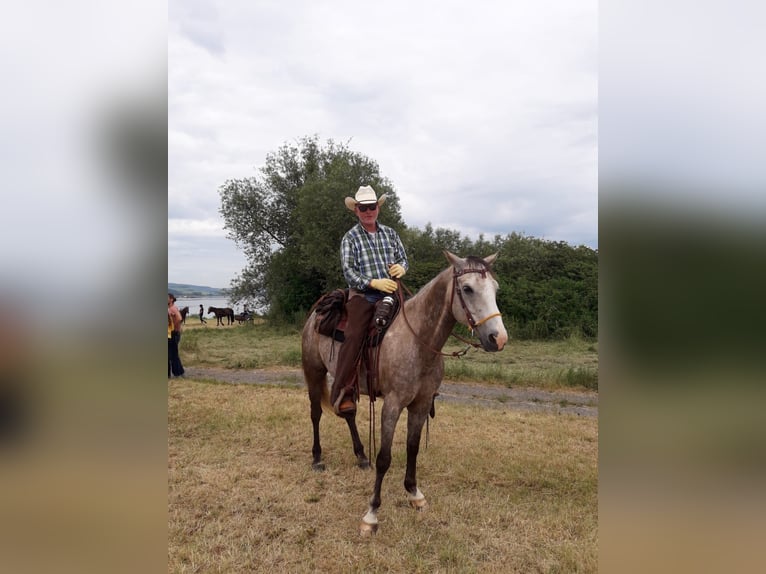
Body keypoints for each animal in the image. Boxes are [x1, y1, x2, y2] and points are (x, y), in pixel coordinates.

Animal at [301, 251, 508, 534]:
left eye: (495, 288)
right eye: (467, 288)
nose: (498, 338)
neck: (419, 340)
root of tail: (316, 313)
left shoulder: (420, 404)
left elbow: (412, 448)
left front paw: (414, 493)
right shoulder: (393, 404)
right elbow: (384, 458)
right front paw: (371, 514)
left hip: (346, 384)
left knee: (348, 414)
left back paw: (361, 456)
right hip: (314, 372)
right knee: (315, 414)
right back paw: (317, 458)